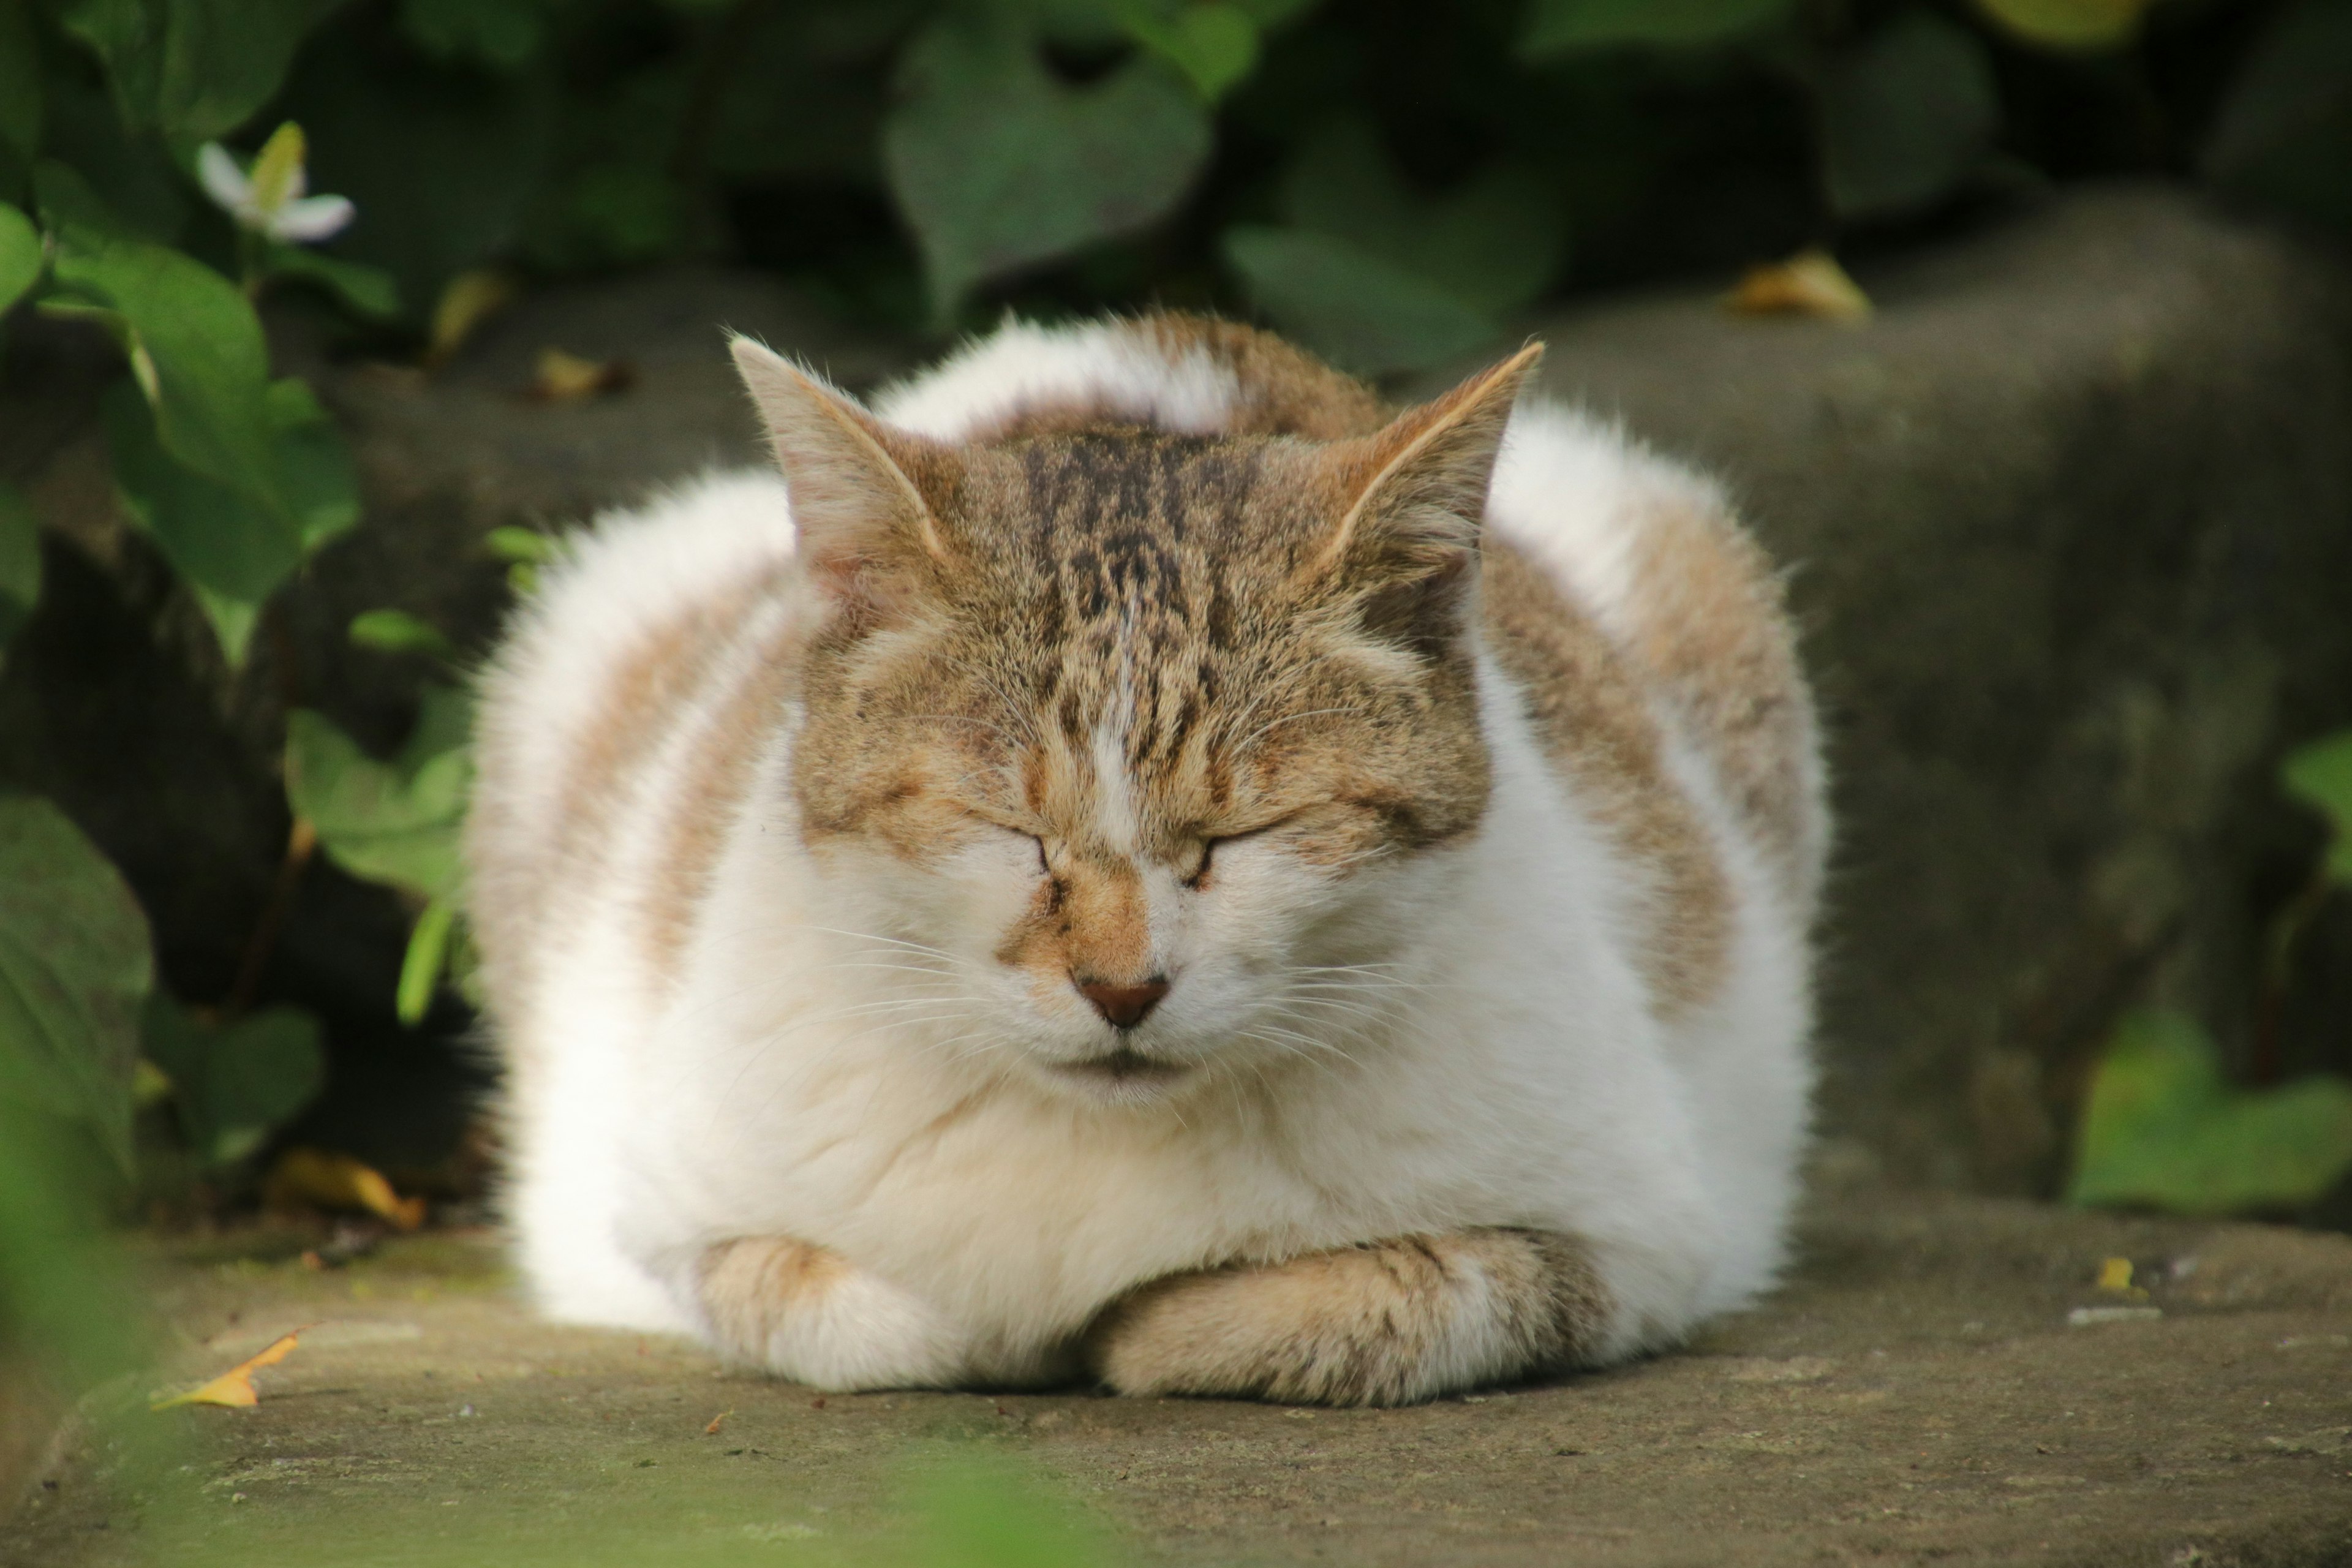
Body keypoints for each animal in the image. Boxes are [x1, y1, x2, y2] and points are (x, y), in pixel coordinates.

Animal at [458, 310, 1815, 1410]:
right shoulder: (667, 1220)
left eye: (1240, 838)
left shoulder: (1643, 1235)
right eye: (1011, 832)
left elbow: (1380, 1293)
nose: (1122, 989)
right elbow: (878, 1312)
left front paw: (1152, 1316)